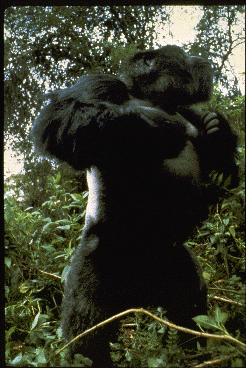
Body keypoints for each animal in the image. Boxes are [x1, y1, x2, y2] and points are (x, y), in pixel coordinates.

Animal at [31, 43, 238, 366]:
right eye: (184, 57)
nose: (201, 60)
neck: (153, 97)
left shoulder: (192, 113)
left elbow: (223, 180)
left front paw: (220, 131)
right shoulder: (100, 83)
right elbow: (63, 115)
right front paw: (153, 128)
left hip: (171, 261)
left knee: (190, 310)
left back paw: (194, 350)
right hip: (98, 263)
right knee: (87, 333)